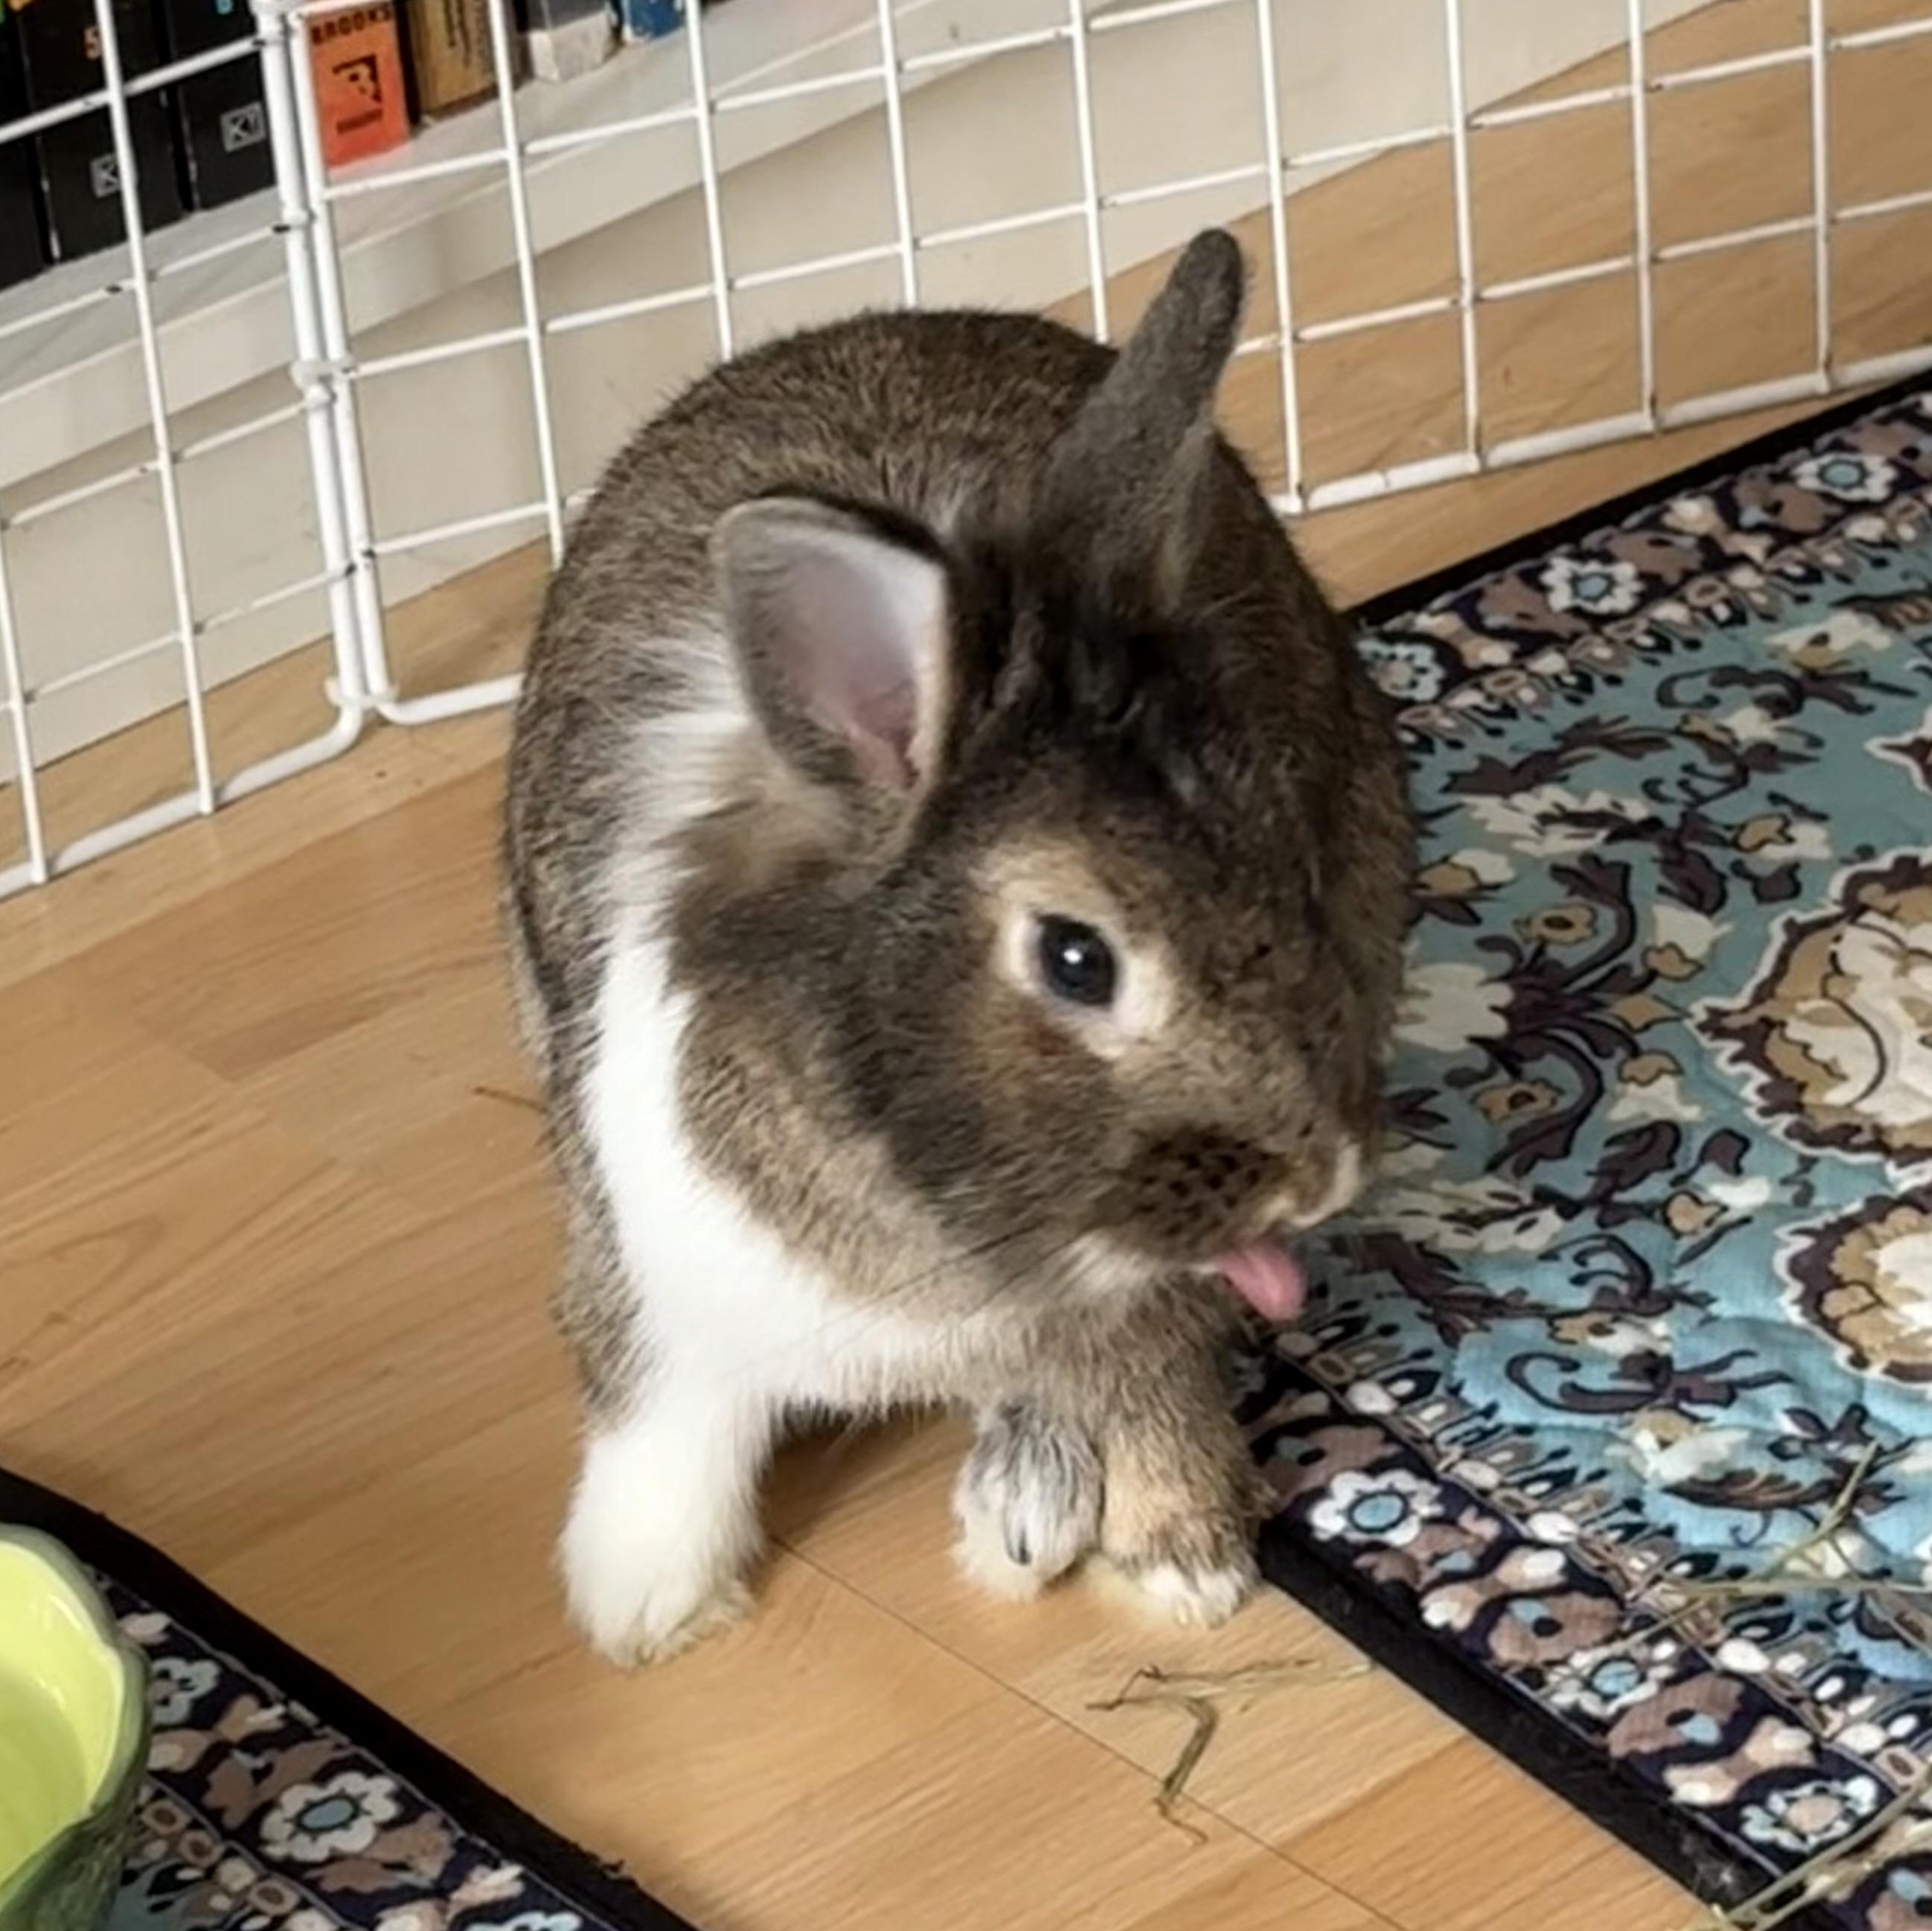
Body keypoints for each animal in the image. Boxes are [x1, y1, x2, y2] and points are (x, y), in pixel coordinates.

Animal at [501, 229, 1415, 1665]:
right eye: (1078, 958)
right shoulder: (654, 1264)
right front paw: (644, 1605)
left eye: (1287, 862)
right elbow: (661, 1414)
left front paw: (1183, 1556)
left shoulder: (1144, 1299)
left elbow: (1146, 1372)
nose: (1320, 1175)